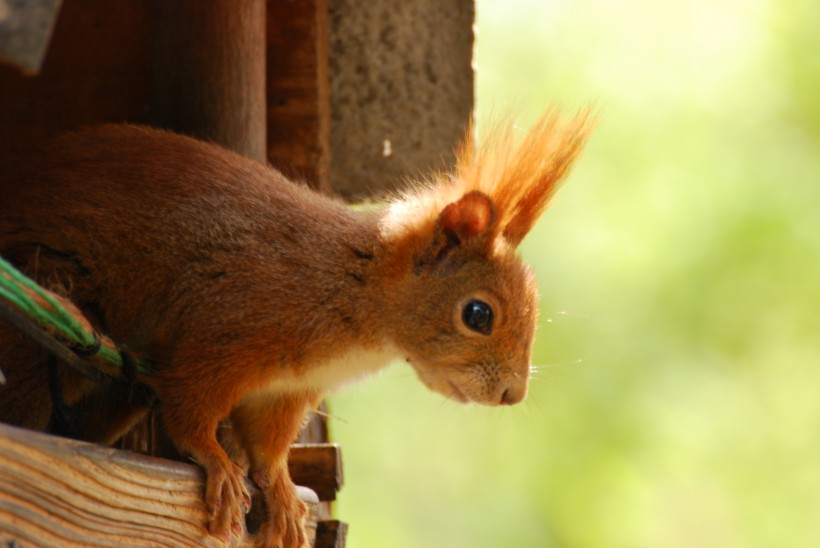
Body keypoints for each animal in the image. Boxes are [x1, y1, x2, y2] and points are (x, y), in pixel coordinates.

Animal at [0, 110, 588, 544]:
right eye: (478, 314)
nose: (513, 394)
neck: (355, 289)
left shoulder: (287, 390)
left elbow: (268, 444)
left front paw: (282, 492)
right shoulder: (224, 330)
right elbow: (190, 407)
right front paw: (218, 464)